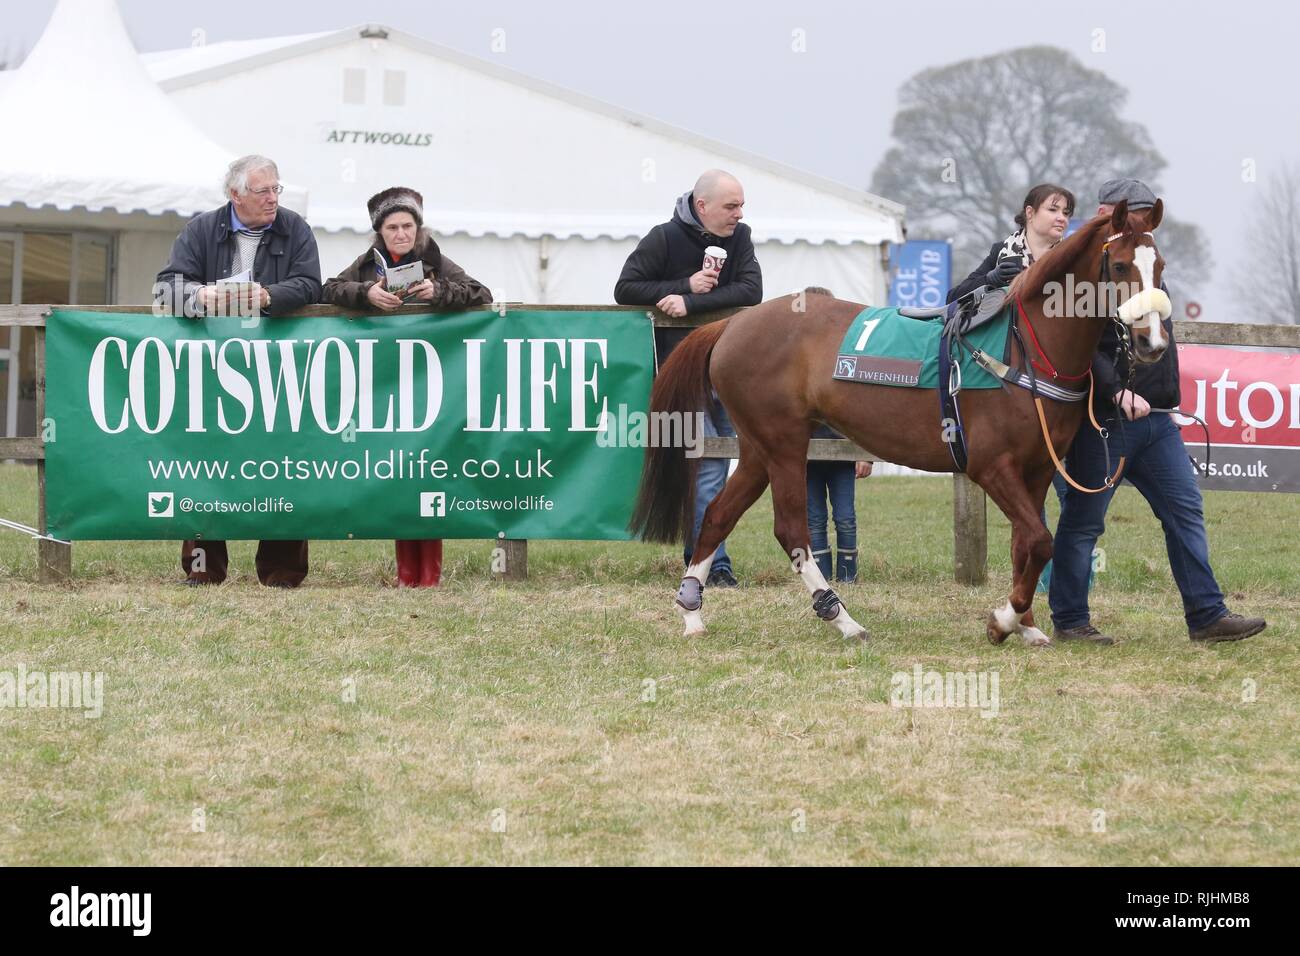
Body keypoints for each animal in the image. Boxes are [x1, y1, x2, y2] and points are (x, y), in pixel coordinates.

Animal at [634, 201, 1175, 650]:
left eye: (1160, 266)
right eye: (1120, 265)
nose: (1151, 342)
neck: (1025, 349)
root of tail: (730, 324)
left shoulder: (1039, 467)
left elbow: (1027, 542)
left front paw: (1026, 624)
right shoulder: (990, 467)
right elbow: (1041, 540)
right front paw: (1002, 620)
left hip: (756, 448)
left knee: (717, 515)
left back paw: (692, 612)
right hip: (783, 443)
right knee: (791, 530)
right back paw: (842, 619)